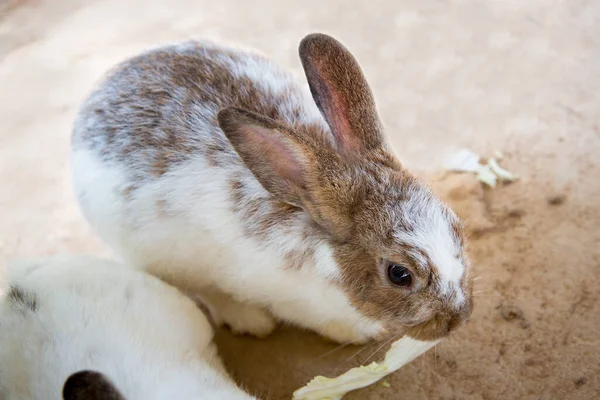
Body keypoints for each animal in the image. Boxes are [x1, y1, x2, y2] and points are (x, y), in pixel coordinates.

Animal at [71, 32, 474, 344]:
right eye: (399, 274)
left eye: (455, 226)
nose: (459, 318)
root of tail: (94, 99)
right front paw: (364, 334)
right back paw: (250, 320)